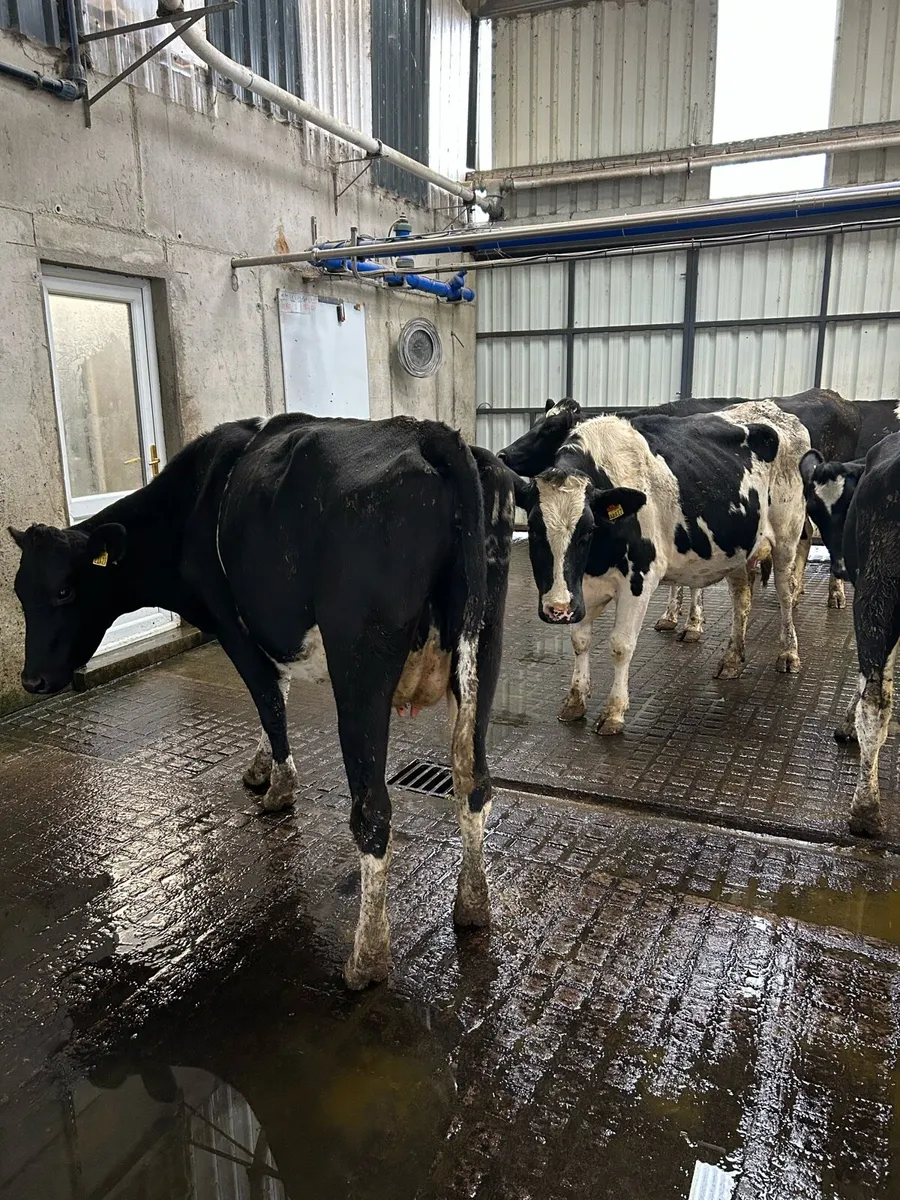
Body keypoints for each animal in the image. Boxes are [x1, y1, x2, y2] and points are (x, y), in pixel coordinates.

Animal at [8, 413, 514, 989]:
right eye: (20, 591)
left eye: (65, 591)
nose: (32, 680)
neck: (190, 503)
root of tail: (429, 433)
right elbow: (279, 691)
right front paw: (260, 766)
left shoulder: (232, 625)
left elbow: (268, 698)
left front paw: (278, 787)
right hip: (485, 645)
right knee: (472, 781)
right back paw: (472, 905)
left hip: (358, 662)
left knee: (373, 809)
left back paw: (366, 957)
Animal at [507, 401, 810, 735]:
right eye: (534, 530)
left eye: (587, 530)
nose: (557, 609)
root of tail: (772, 410)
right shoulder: (580, 587)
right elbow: (580, 641)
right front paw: (575, 701)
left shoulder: (639, 580)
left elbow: (621, 645)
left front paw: (614, 712)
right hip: (738, 551)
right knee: (742, 600)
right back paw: (732, 659)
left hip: (787, 537)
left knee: (785, 593)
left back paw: (789, 654)